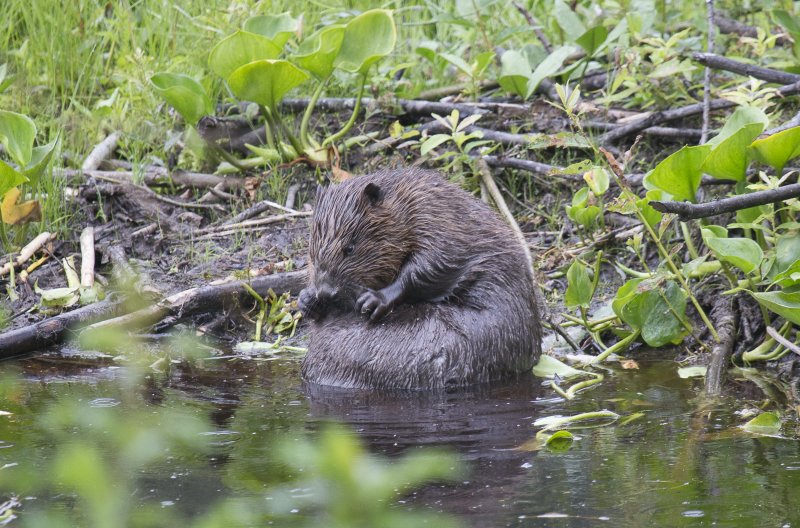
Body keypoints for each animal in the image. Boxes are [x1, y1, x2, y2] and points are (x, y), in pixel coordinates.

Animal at [300, 167, 544, 390]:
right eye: (311, 253)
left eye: (349, 248)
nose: (326, 292)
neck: (405, 202)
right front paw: (307, 300)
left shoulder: (437, 221)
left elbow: (431, 263)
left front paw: (374, 300)